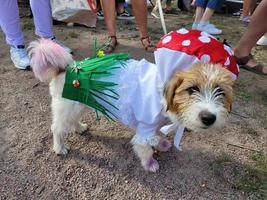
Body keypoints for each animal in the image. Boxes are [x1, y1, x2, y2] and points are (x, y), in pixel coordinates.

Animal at [28, 28, 239, 172]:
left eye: (220, 91)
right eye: (192, 89)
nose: (209, 118)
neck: (161, 87)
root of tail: (66, 67)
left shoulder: (156, 124)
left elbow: (158, 135)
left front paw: (161, 144)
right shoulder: (146, 126)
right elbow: (144, 147)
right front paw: (150, 163)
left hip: (77, 103)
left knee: (71, 121)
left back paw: (79, 128)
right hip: (67, 107)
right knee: (57, 128)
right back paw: (59, 147)